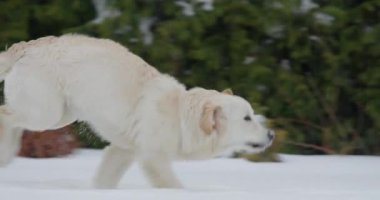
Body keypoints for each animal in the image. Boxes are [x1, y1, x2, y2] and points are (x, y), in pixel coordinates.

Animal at [0, 34, 274, 189]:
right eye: (247, 117)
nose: (271, 135)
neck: (179, 115)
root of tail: (27, 47)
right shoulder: (153, 159)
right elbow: (172, 185)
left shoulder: (123, 151)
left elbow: (105, 179)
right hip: (46, 113)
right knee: (5, 114)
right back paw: (5, 152)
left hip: (60, 114)